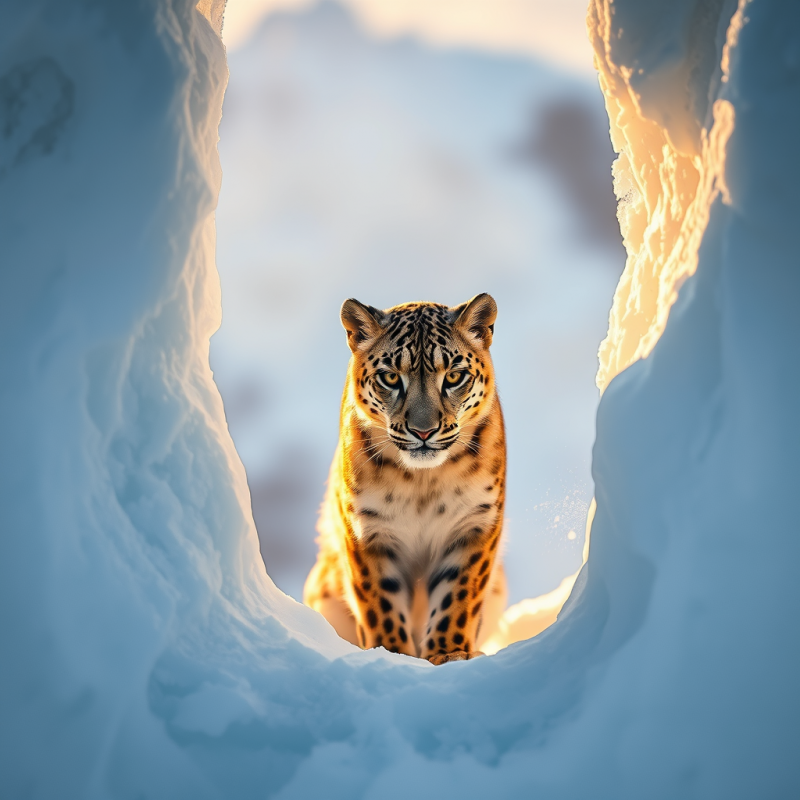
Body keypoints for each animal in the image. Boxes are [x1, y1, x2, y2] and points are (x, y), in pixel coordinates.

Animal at [303, 293, 507, 664]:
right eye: (389, 377)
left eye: (454, 376)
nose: (423, 431)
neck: (423, 482)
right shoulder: (366, 530)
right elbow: (380, 603)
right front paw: (392, 655)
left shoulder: (475, 523)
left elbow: (458, 595)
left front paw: (449, 653)